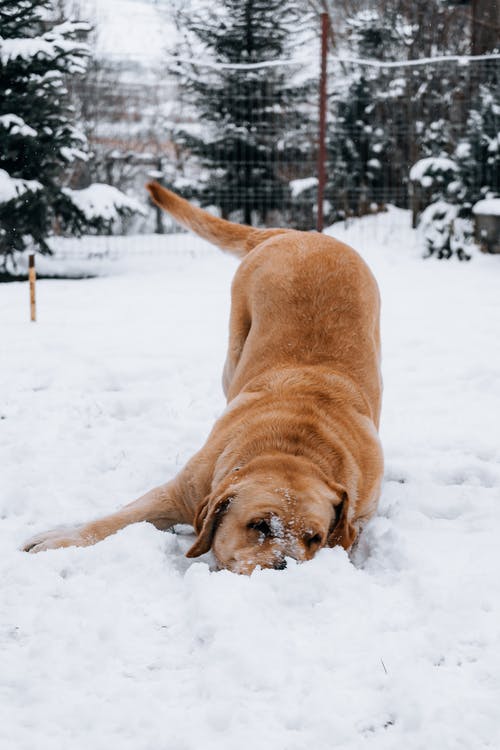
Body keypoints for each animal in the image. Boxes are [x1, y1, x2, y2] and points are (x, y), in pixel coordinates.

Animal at [23, 185, 382, 572]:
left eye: (313, 537)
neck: (294, 445)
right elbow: (113, 520)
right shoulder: (179, 492)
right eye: (258, 525)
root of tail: (295, 233)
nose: (285, 567)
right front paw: (57, 540)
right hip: (233, 349)